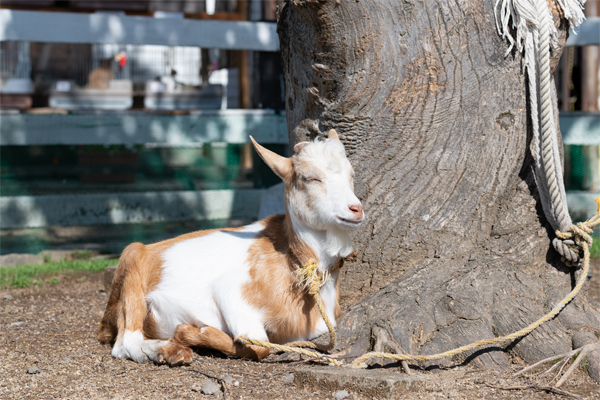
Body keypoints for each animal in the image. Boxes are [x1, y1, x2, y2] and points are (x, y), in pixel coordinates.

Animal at [97, 130, 366, 366]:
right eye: (311, 178)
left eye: (351, 175)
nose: (356, 208)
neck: (295, 260)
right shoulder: (232, 291)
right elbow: (258, 344)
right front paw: (196, 332)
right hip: (132, 269)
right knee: (126, 343)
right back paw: (169, 350)